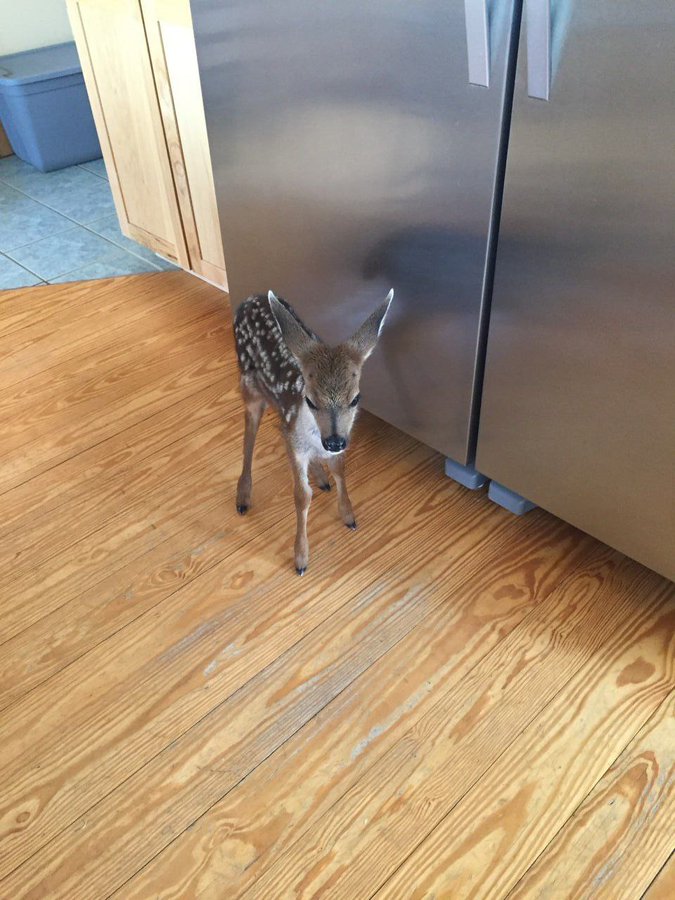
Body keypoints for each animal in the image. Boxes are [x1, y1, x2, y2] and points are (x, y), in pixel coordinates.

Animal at [235, 288, 394, 572]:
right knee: (249, 436)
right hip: (248, 386)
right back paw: (243, 496)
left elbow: (340, 471)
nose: (334, 442)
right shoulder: (296, 444)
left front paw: (348, 515)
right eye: (310, 400)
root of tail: (249, 299)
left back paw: (320, 476)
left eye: (355, 398)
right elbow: (301, 495)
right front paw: (301, 558)